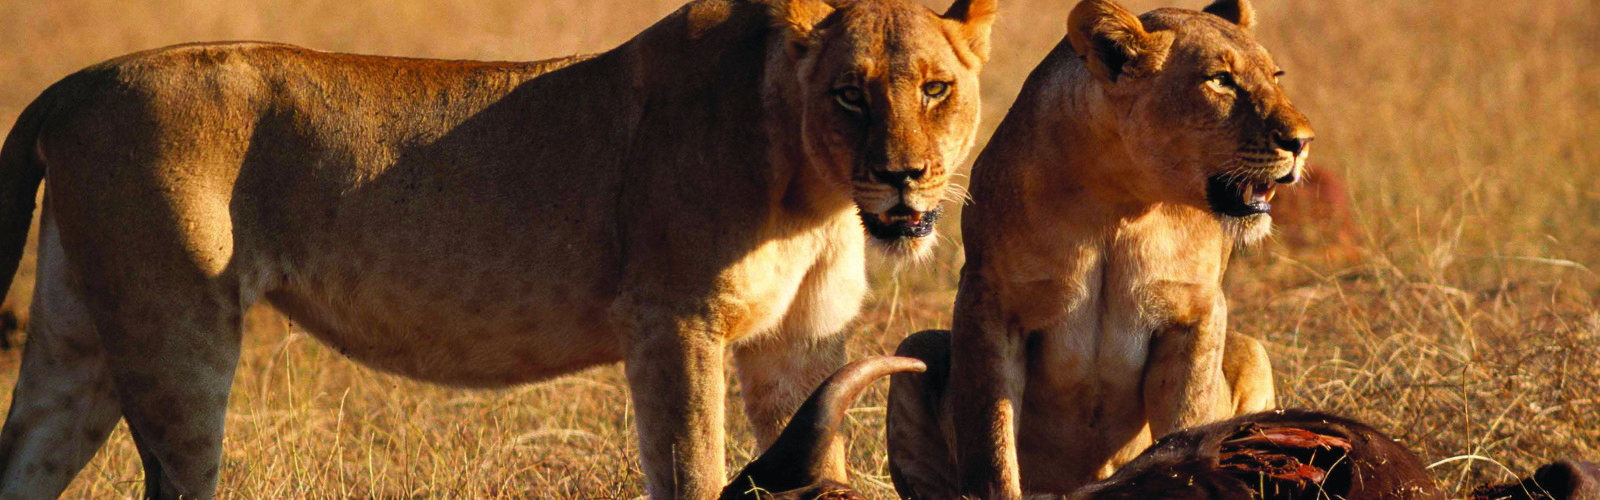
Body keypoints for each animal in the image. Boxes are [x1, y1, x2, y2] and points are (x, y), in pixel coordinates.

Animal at [0, 0, 997, 498]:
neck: (812, 190)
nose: (905, 178)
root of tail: (74, 84)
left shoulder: (800, 344)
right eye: (850, 93)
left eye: (935, 88)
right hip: (178, 337)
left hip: (77, 341)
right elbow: (694, 471)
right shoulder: (672, 321)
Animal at [882, 0, 1312, 498]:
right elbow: (992, 446)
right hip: (914, 347)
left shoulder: (1196, 313)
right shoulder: (989, 303)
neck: (1123, 204)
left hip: (1252, 350)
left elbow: (1187, 422)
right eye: (1220, 80)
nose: (1303, 142)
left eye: (1276, 76)